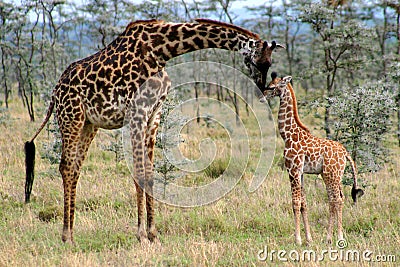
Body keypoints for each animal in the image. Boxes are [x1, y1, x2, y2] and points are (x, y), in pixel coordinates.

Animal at [25, 18, 282, 245]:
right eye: (257, 62)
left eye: (270, 65)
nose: (261, 90)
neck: (162, 50)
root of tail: (55, 91)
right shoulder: (137, 113)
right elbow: (139, 172)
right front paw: (140, 234)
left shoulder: (153, 115)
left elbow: (149, 172)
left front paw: (153, 233)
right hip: (71, 117)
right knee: (66, 167)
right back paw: (66, 236)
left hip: (89, 124)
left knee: (75, 167)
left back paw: (72, 233)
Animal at [260, 73, 364, 245]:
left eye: (272, 86)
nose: (262, 97)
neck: (287, 135)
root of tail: (345, 153)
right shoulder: (300, 172)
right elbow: (304, 203)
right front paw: (308, 239)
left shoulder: (293, 170)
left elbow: (295, 203)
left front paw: (298, 239)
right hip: (333, 175)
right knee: (335, 199)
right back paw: (328, 238)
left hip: (331, 175)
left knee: (337, 199)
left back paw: (339, 237)